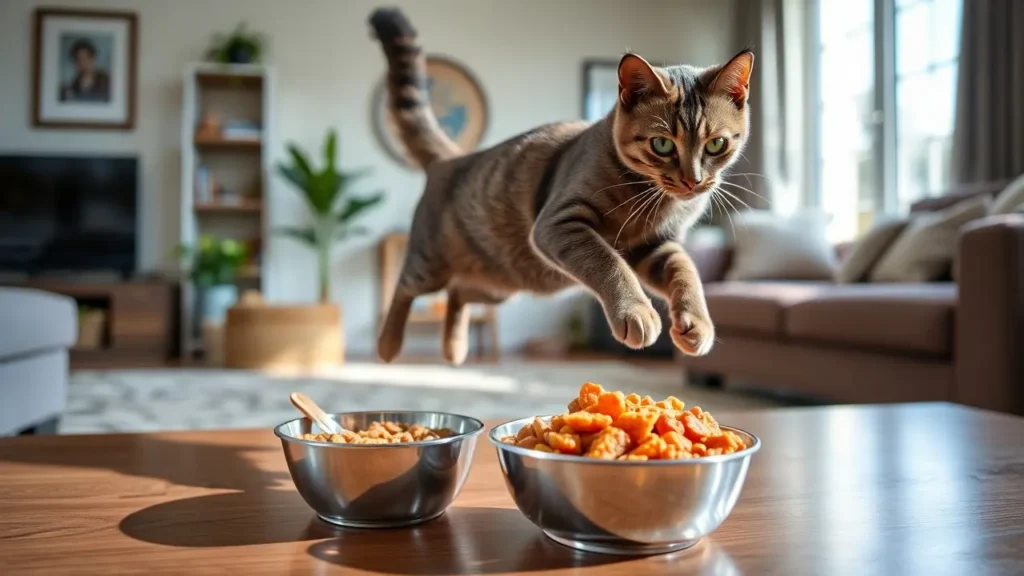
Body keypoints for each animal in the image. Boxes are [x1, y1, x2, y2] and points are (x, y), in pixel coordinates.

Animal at [368, 7, 753, 362]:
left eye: (716, 144)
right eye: (661, 144)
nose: (693, 180)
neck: (653, 201)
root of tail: (452, 159)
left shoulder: (657, 245)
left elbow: (686, 273)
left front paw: (697, 322)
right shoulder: (560, 223)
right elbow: (608, 263)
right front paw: (635, 310)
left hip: (501, 284)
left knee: (459, 292)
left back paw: (454, 347)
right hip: (431, 263)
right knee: (405, 288)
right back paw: (388, 345)